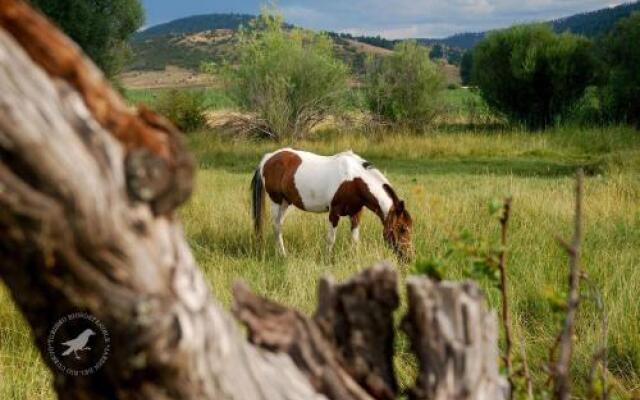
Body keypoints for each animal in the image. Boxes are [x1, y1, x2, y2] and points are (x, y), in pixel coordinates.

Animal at [250, 148, 416, 260]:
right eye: (402, 229)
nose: (408, 257)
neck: (354, 181)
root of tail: (268, 158)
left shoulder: (356, 213)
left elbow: (354, 239)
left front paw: (353, 258)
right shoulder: (334, 213)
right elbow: (330, 239)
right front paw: (327, 260)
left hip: (286, 203)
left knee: (279, 226)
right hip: (277, 202)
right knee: (276, 227)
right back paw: (282, 255)